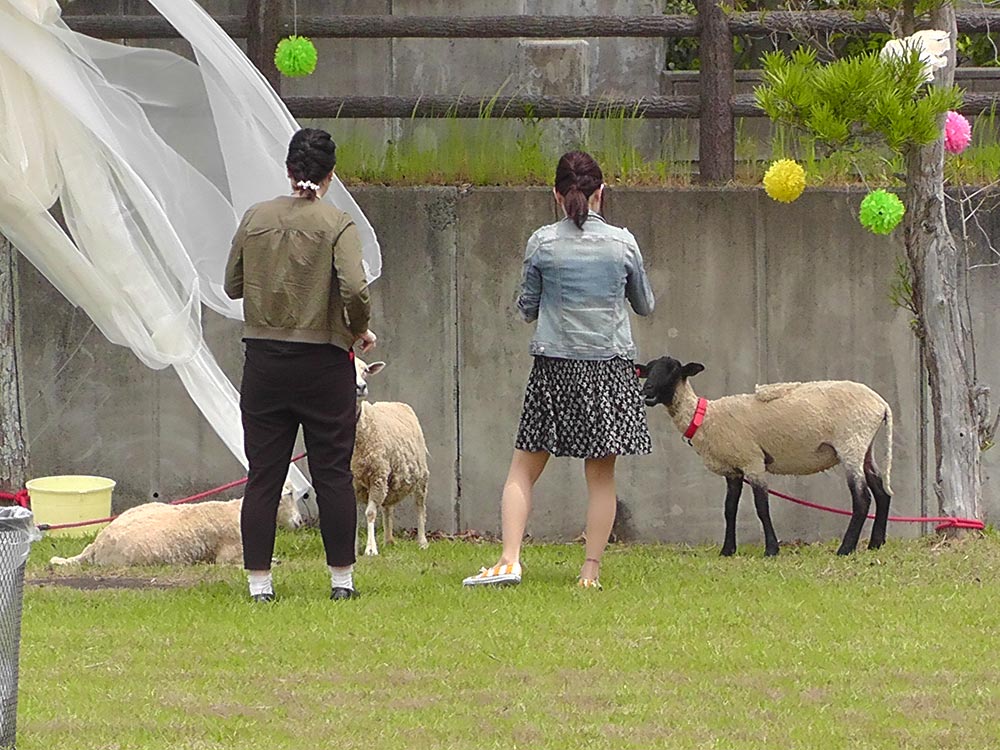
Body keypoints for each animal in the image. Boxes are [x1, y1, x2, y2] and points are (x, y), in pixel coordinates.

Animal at [354, 358, 428, 560]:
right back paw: (388, 540)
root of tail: (394, 402)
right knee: (388, 507)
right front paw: (353, 548)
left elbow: (370, 513)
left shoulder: (377, 476)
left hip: (420, 475)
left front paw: (371, 549)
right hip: (390, 477)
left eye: (365, 371)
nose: (361, 387)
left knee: (420, 506)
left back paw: (422, 542)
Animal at [640, 356, 900, 560]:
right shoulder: (733, 470)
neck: (704, 417)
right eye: (648, 369)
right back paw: (875, 544)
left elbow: (762, 508)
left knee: (862, 498)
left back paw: (846, 549)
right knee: (881, 492)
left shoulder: (753, 461)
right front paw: (727, 550)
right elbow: (729, 509)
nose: (647, 391)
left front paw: (771, 550)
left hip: (851, 443)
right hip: (864, 447)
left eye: (673, 370)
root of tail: (881, 404)